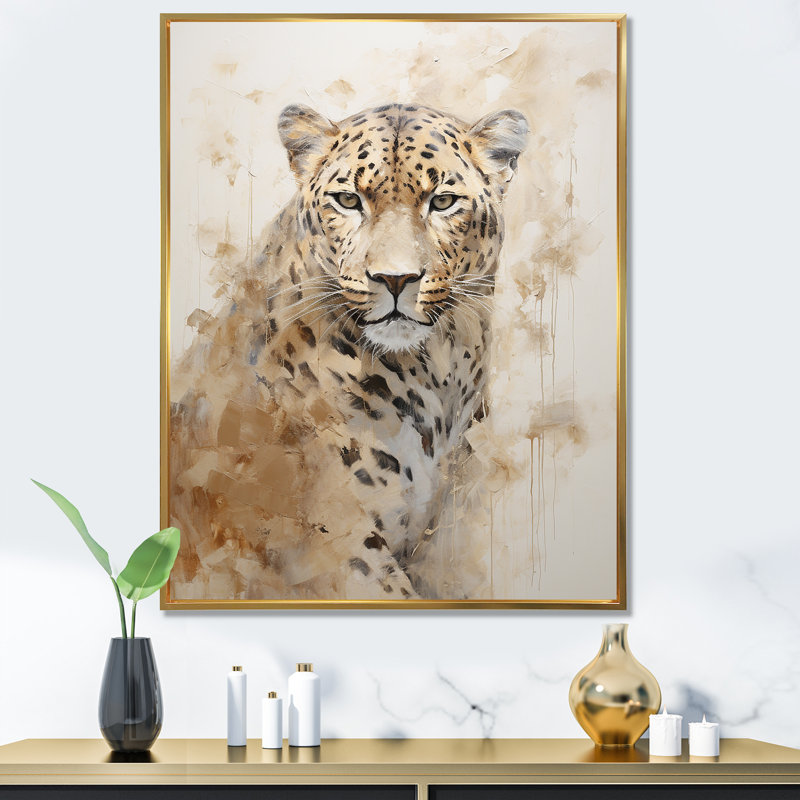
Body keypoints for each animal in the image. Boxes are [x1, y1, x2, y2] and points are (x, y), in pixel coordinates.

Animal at [169, 102, 528, 601]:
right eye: (349, 200)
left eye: (442, 202)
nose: (395, 279)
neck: (436, 379)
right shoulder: (339, 544)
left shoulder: (453, 531)